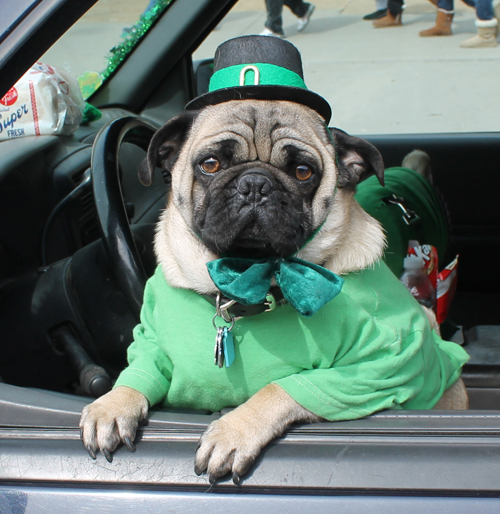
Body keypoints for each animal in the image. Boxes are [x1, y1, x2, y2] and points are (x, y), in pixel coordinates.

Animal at [80, 98, 470, 482]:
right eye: (210, 164)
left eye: (303, 172)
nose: (255, 183)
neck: (241, 282)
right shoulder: (150, 338)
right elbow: (139, 368)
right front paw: (111, 405)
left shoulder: (376, 368)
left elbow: (282, 387)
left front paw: (234, 430)